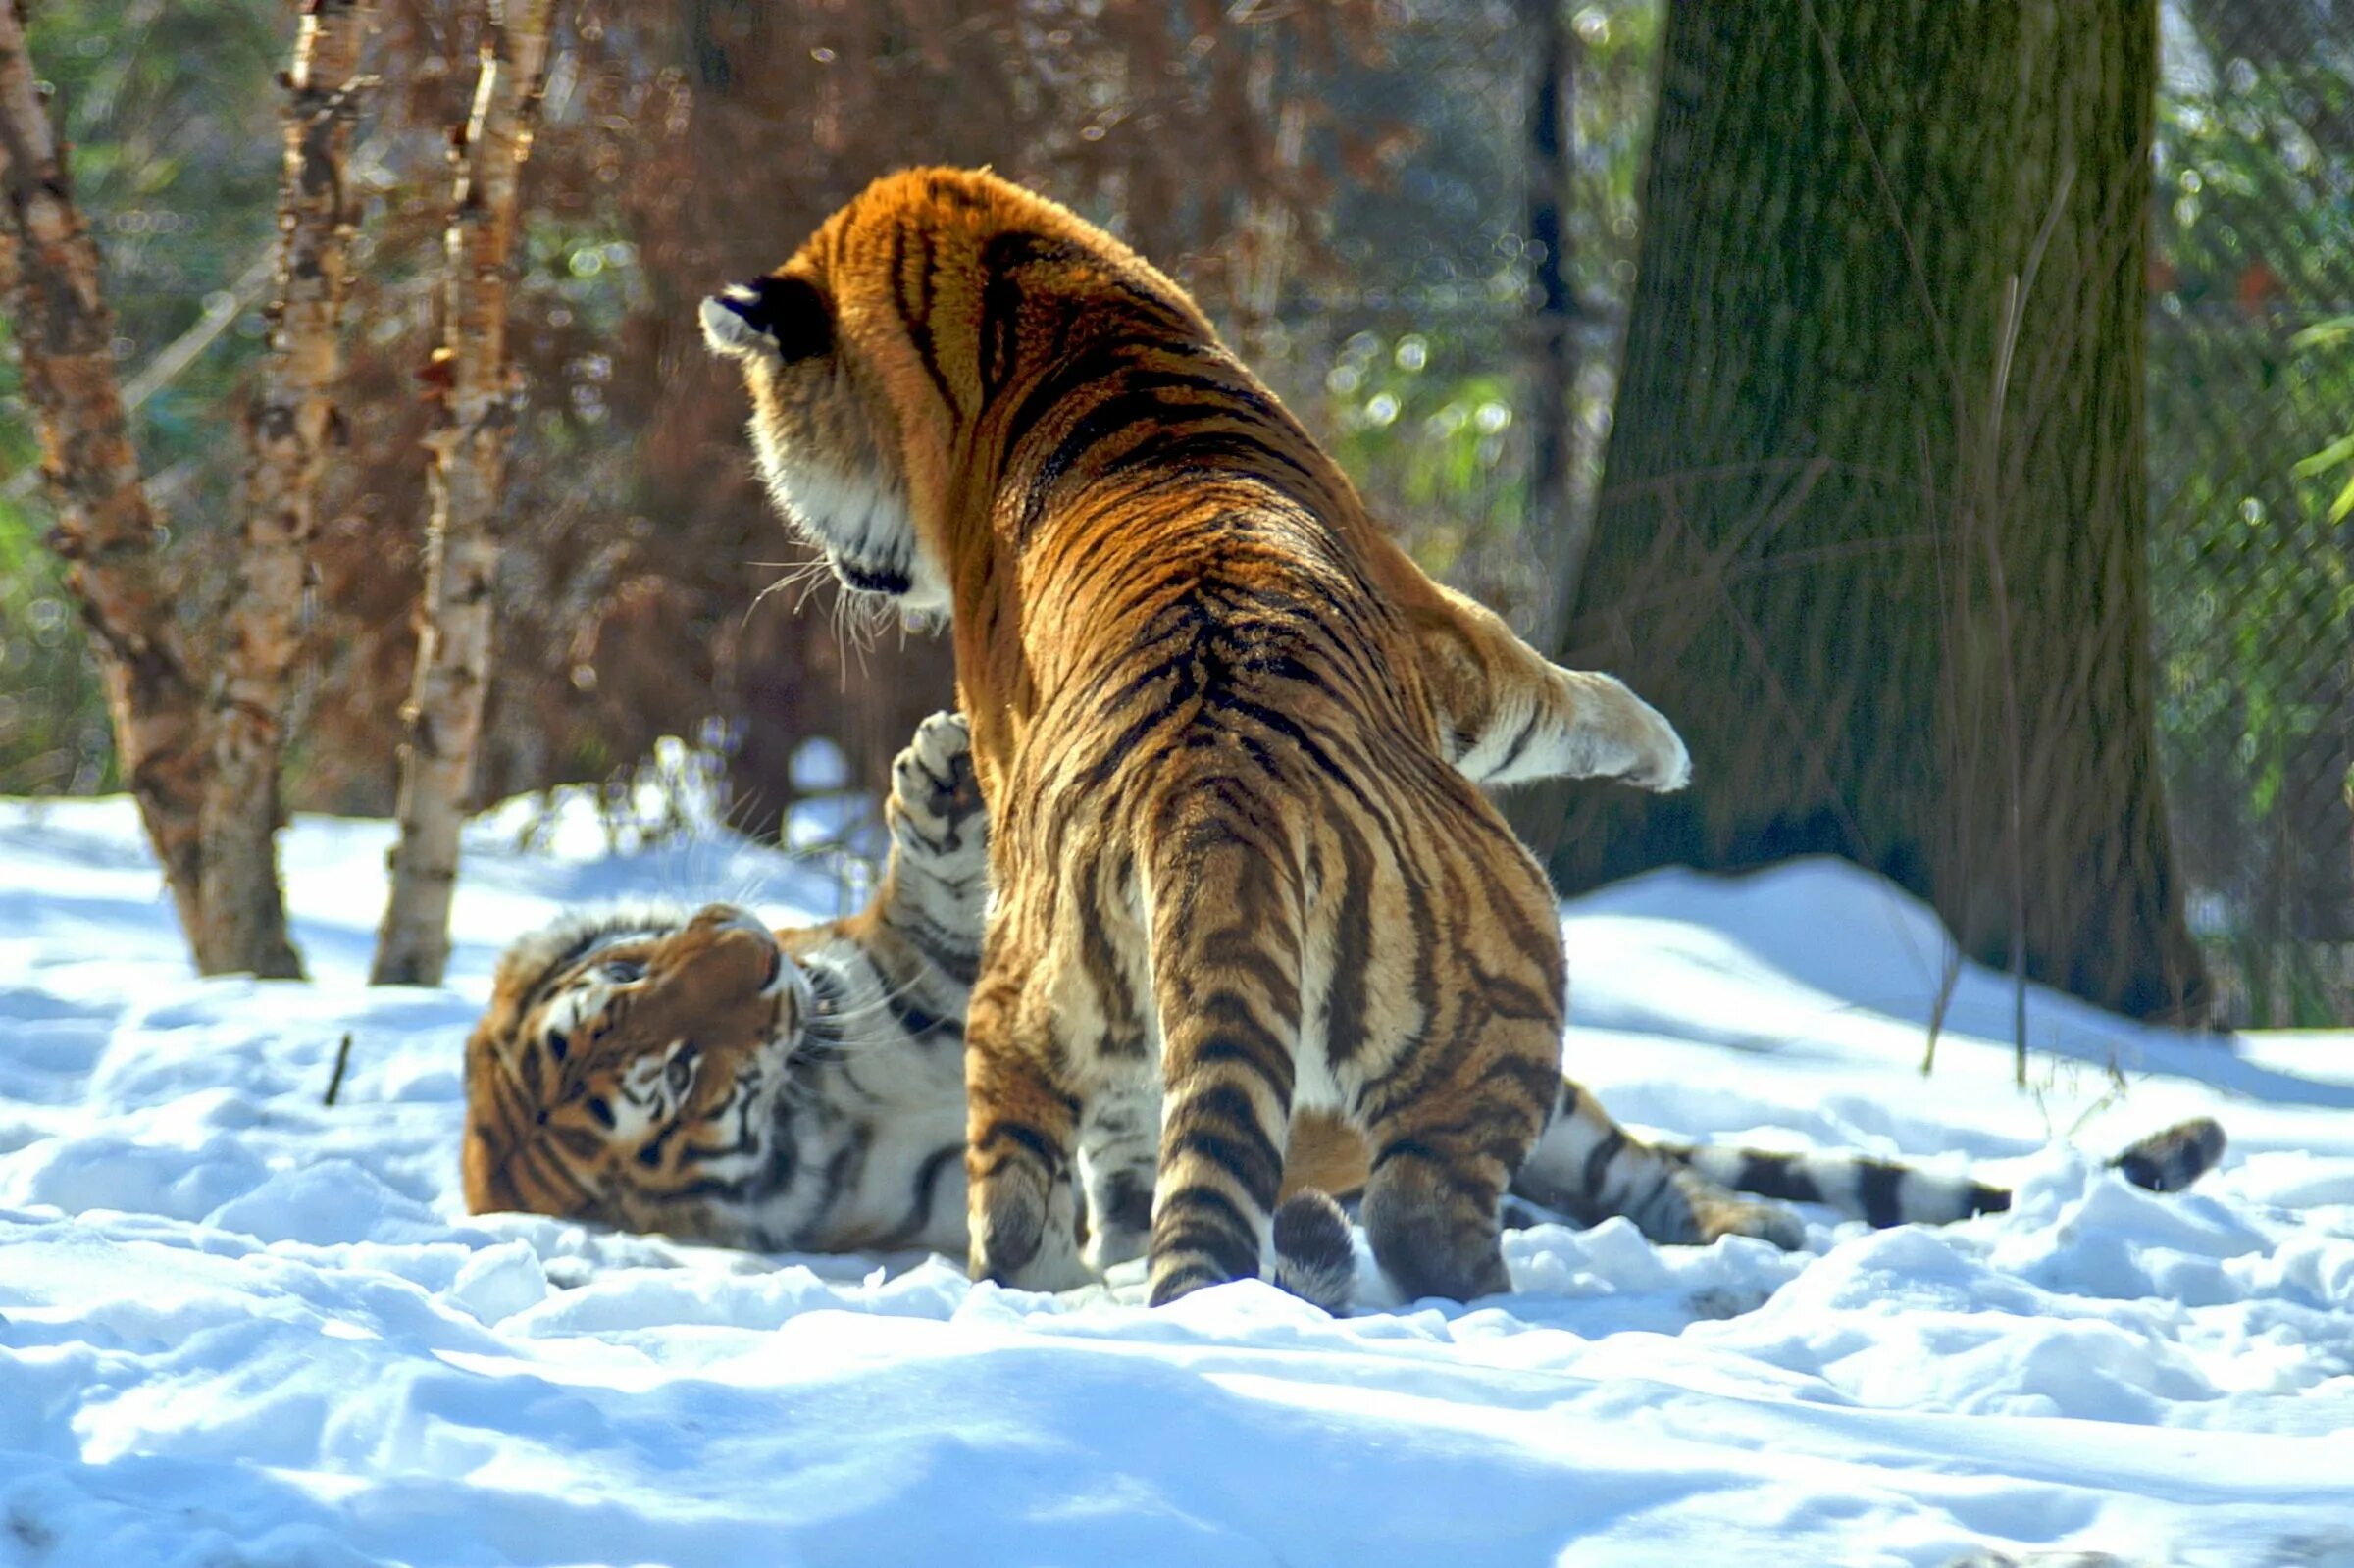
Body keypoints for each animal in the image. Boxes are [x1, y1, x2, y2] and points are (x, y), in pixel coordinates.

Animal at [454, 706, 2222, 1308]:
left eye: (635, 990)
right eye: (673, 1075)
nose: (749, 952)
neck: (830, 1073)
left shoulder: (940, 975)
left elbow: (944, 892)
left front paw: (944, 776)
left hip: (1559, 1117)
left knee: (1661, 1173)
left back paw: (1749, 1230)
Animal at [691, 165, 1695, 1299]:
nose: (831, 562)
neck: (1019, 298)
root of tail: (1212, 792)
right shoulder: (1439, 633)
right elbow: (1551, 697)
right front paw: (1666, 749)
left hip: (1047, 990)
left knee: (1040, 1194)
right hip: (1508, 963)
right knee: (1414, 1207)